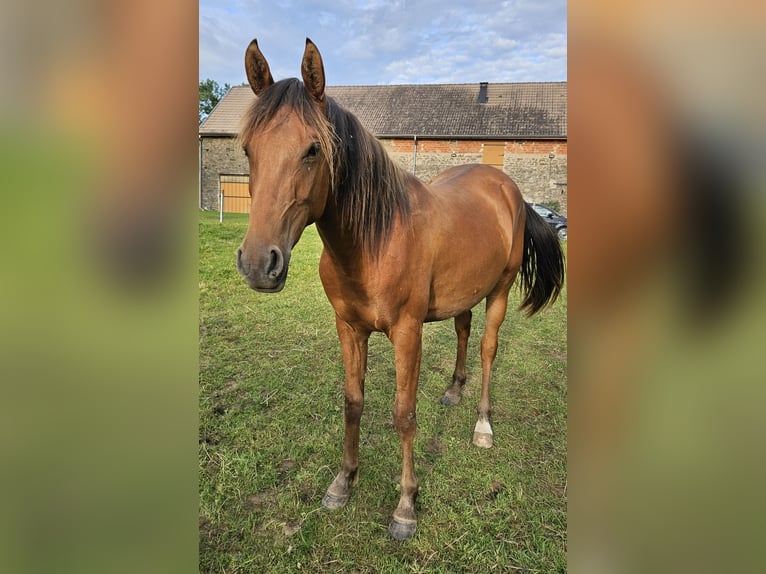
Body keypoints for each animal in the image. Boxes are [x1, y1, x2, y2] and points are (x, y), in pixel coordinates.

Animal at [237, 38, 568, 544]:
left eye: (312, 149)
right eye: (248, 150)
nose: (259, 264)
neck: (375, 240)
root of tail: (508, 188)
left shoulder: (407, 333)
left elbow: (404, 415)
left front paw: (406, 506)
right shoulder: (349, 328)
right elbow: (353, 403)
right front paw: (343, 482)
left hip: (500, 290)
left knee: (488, 348)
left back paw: (482, 424)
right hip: (464, 293)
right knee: (463, 332)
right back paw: (453, 391)